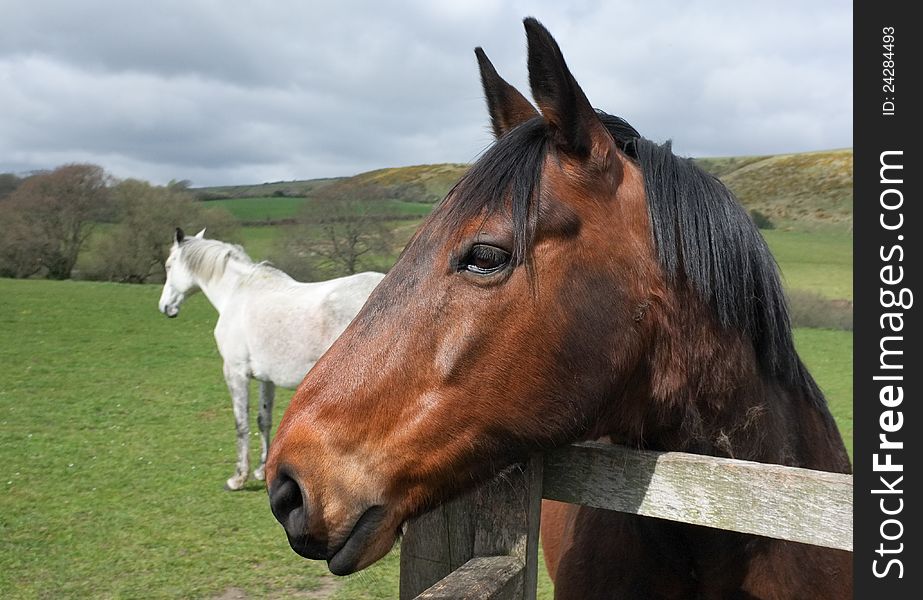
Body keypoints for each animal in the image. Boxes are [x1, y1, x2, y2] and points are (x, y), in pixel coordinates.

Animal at [159, 227, 382, 490]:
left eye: (169, 265)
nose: (165, 307)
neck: (237, 294)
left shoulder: (235, 373)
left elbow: (241, 423)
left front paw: (238, 477)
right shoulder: (266, 379)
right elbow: (263, 420)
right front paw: (261, 470)